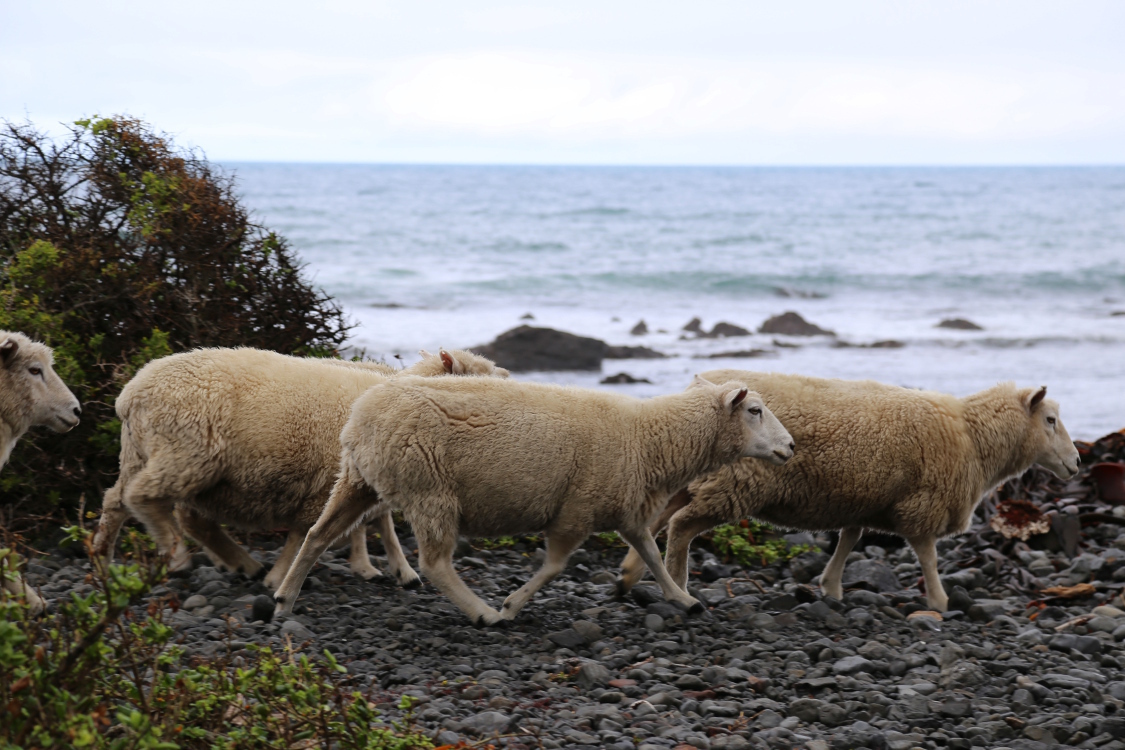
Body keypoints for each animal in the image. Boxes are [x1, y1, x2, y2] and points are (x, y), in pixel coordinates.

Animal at [91, 348, 508, 590]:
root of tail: (131, 395)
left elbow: (370, 524)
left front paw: (389, 569)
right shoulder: (328, 482)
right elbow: (309, 533)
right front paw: (284, 577)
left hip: (147, 454)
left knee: (120, 502)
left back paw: (104, 558)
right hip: (186, 452)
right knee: (144, 498)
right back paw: (179, 556)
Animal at [273, 375, 795, 625]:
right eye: (754, 410)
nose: (790, 447)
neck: (649, 438)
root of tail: (361, 416)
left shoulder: (625, 508)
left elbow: (650, 554)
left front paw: (684, 599)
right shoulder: (577, 508)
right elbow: (555, 567)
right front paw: (511, 605)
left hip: (357, 479)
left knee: (317, 534)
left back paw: (284, 600)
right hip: (430, 490)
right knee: (436, 563)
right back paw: (481, 613)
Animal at [617, 371, 1081, 612]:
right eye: (1051, 420)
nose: (1077, 462)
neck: (971, 436)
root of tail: (702, 384)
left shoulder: (866, 498)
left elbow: (850, 538)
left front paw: (832, 586)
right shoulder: (923, 503)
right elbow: (928, 556)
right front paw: (938, 600)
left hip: (698, 477)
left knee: (659, 518)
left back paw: (632, 574)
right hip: (734, 483)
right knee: (680, 526)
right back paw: (679, 584)